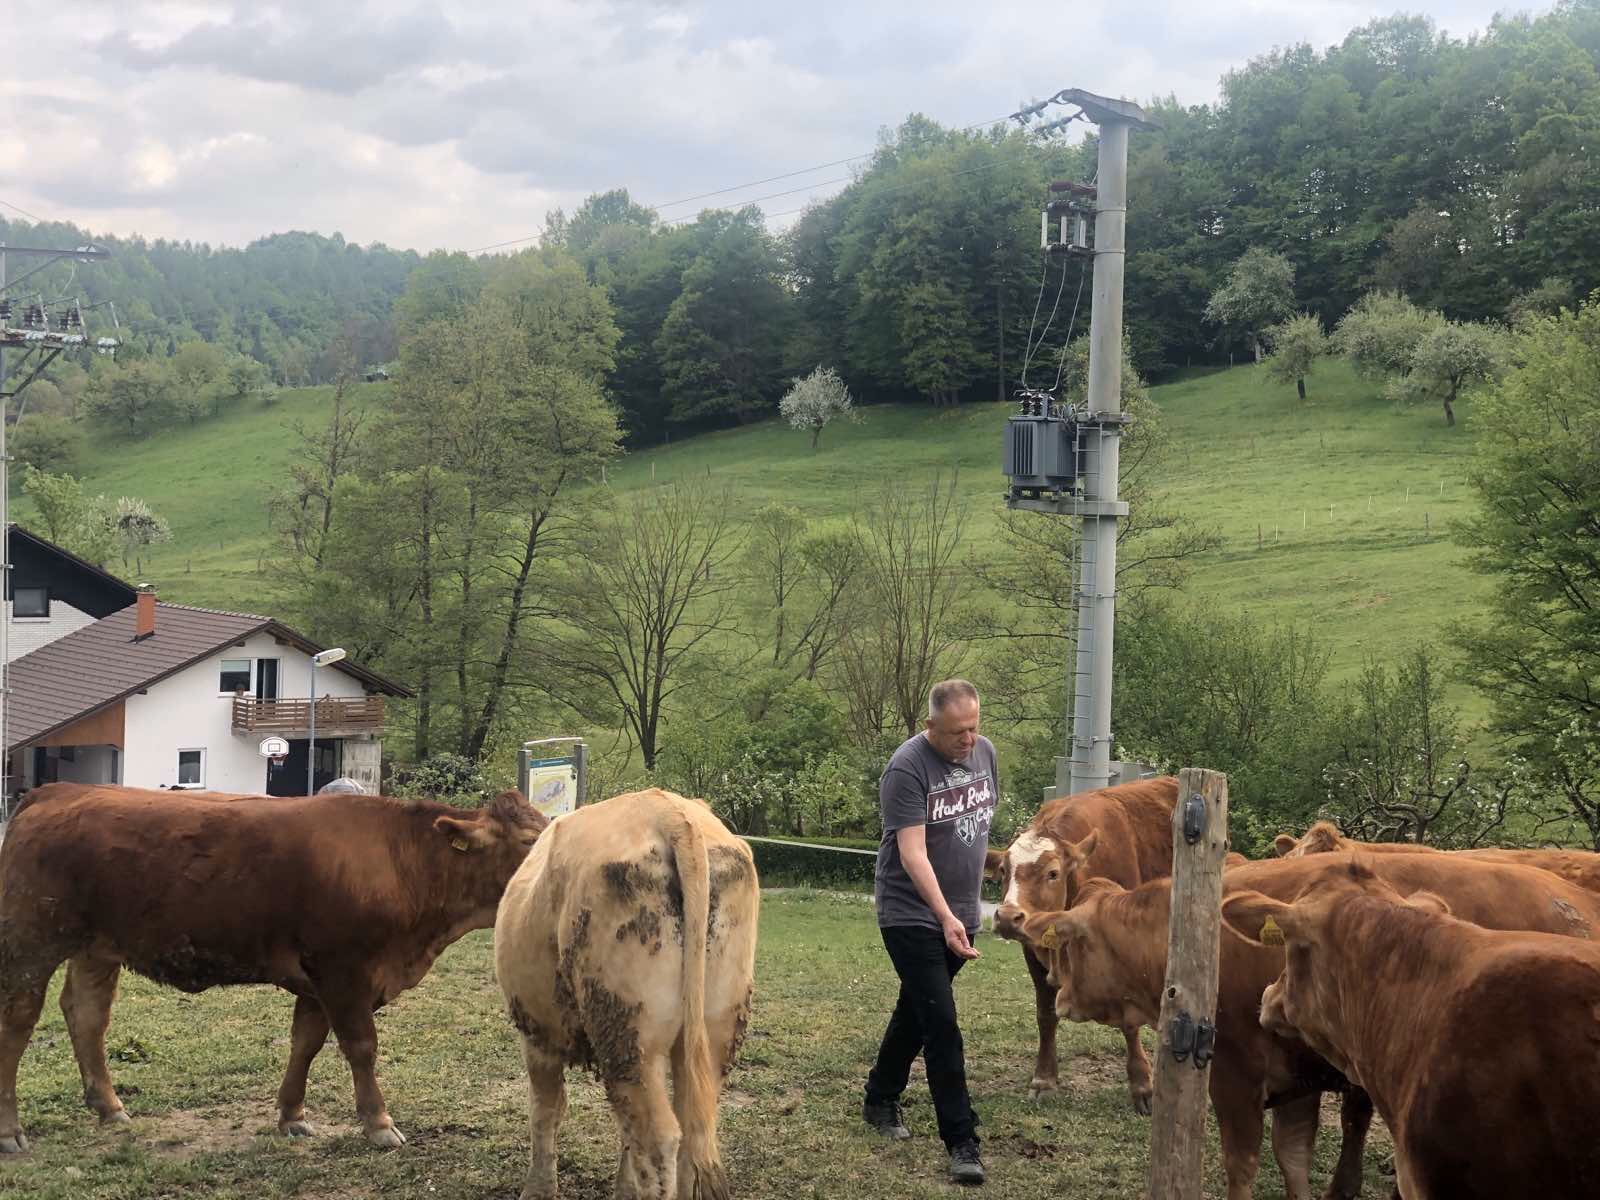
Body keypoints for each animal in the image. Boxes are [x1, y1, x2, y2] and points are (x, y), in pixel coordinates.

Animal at [0, 784, 544, 1152]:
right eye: (529, 841)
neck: (405, 863)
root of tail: (58, 791)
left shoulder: (318, 980)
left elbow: (305, 1044)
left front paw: (291, 1115)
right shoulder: (343, 972)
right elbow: (361, 1047)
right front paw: (379, 1123)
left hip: (97, 948)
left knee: (87, 1015)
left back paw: (110, 1108)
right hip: (31, 942)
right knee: (18, 1024)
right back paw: (11, 1131)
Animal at [492, 790, 755, 1200]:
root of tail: (668, 809)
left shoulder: (536, 1031)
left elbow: (545, 1109)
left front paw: (538, 1189)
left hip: (625, 1028)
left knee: (657, 1138)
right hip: (714, 1027)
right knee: (692, 1128)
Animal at [985, 780, 1177, 1107]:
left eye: (1052, 873)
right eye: (1003, 871)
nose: (1009, 917)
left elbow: (1129, 1021)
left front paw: (1142, 1085)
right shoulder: (1032, 953)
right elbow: (1046, 1015)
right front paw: (1044, 1078)